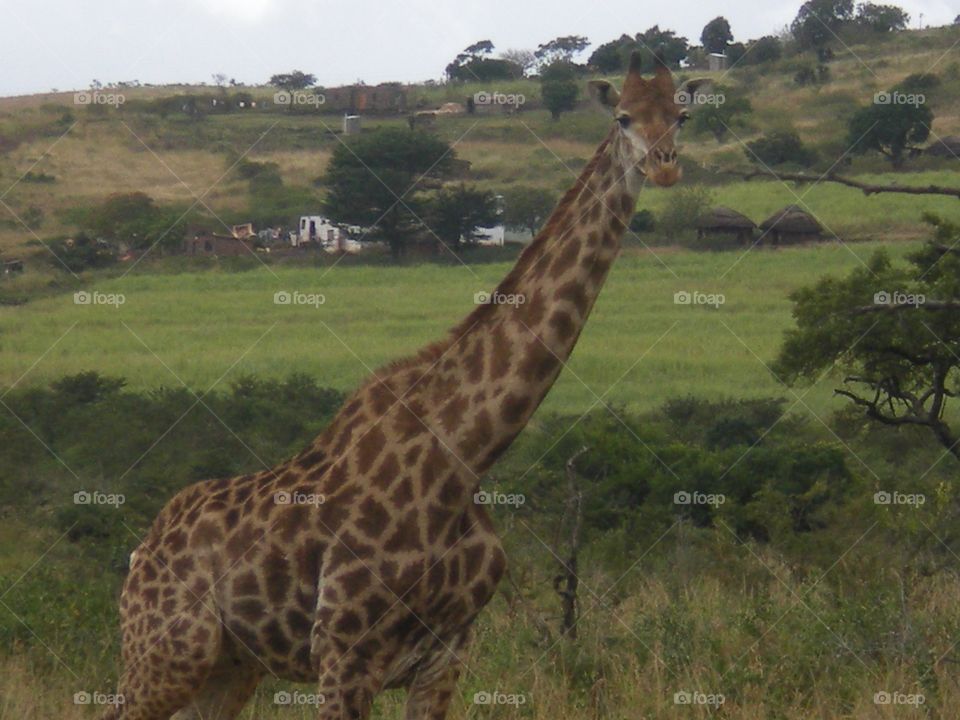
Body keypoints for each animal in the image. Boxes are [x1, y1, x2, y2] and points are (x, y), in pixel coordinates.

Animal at [102, 51, 708, 720]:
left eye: (682, 114)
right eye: (623, 116)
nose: (665, 165)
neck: (464, 454)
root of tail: (141, 550)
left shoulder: (447, 653)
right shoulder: (342, 654)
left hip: (229, 667)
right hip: (167, 649)